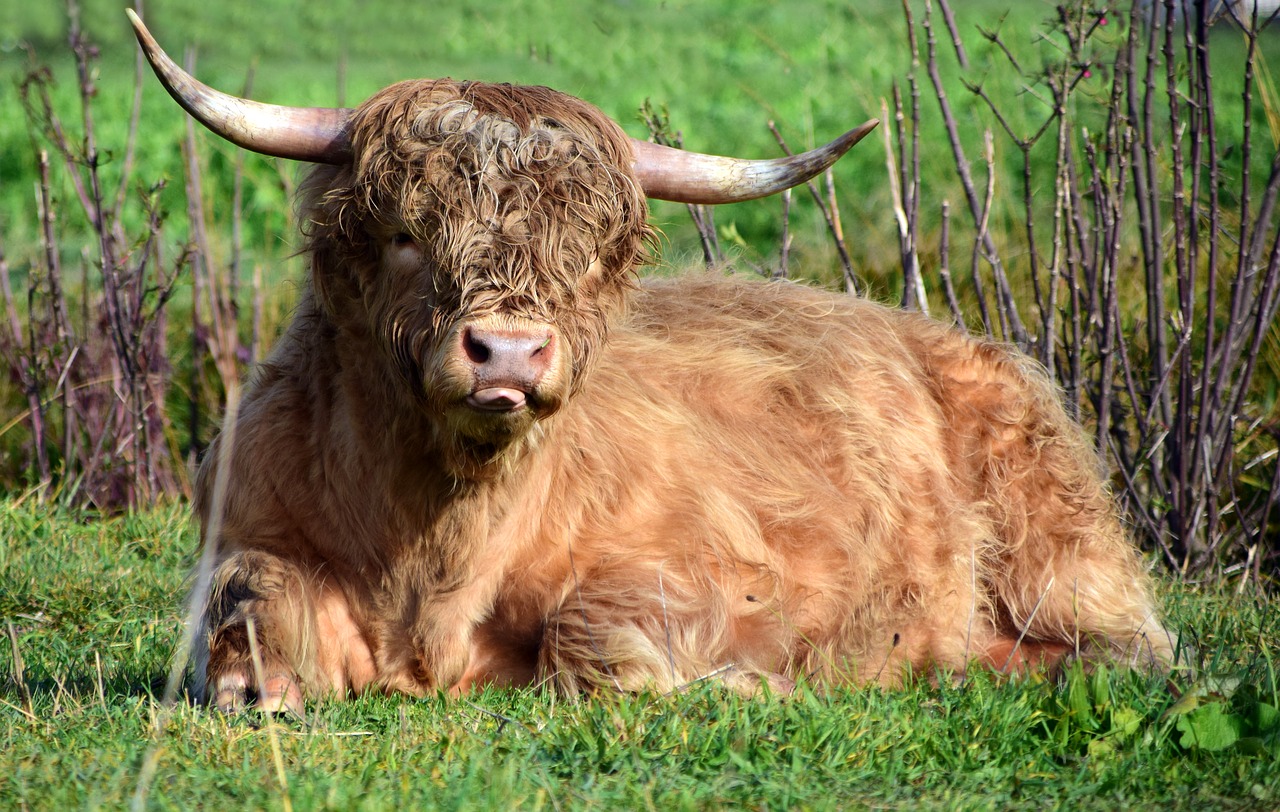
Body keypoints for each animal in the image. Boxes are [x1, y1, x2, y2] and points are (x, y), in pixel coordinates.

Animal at [127, 9, 1172, 712]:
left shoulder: (723, 568)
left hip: (1058, 549)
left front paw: (745, 685)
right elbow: (252, 597)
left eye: (588, 257)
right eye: (403, 235)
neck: (437, 550)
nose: (509, 351)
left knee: (1135, 645)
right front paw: (258, 684)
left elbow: (596, 633)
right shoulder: (246, 526)